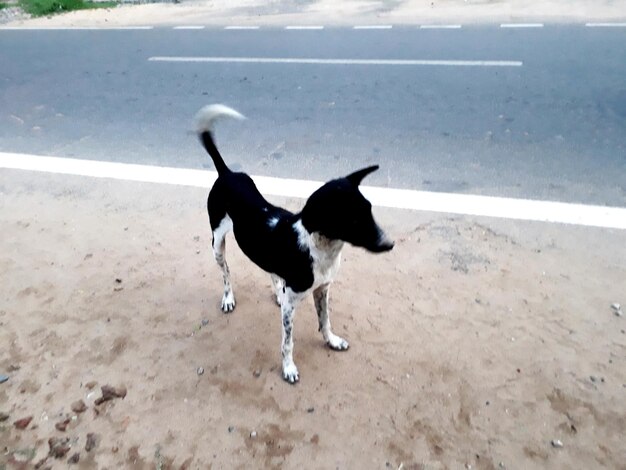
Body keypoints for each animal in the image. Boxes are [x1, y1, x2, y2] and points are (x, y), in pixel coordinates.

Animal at [195, 104, 392, 384]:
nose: (389, 244)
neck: (320, 248)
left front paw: (332, 341)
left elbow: (325, 320)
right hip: (217, 243)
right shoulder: (293, 306)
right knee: (226, 273)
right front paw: (288, 368)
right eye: (353, 219)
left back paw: (277, 292)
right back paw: (228, 298)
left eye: (369, 209)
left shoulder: (323, 290)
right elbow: (288, 342)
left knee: (270, 272)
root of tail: (227, 173)